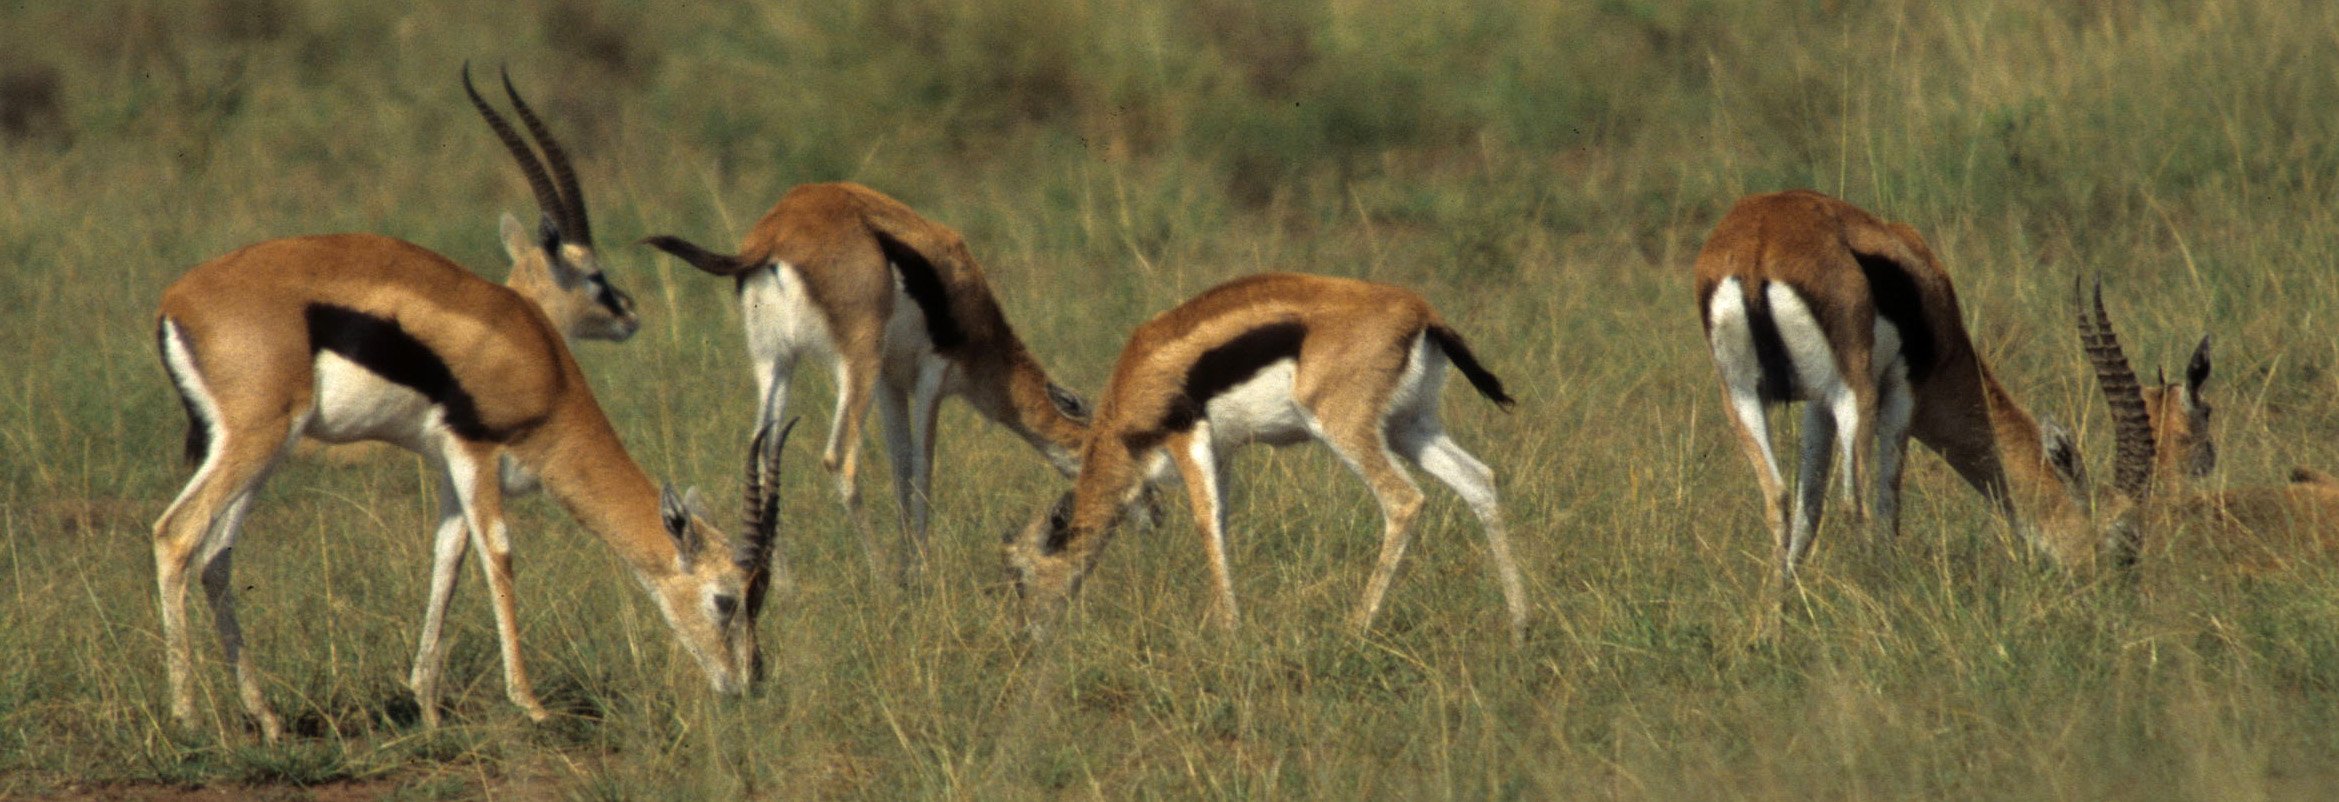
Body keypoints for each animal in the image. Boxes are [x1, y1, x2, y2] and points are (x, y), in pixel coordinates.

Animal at [149, 68, 790, 741]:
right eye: (726, 598)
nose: (746, 682)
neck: (541, 361)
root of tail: (176, 301)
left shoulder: (448, 468)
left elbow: (448, 561)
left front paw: (428, 708)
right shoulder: (475, 453)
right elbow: (499, 557)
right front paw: (530, 704)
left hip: (266, 451)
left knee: (216, 559)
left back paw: (268, 719)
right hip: (257, 439)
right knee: (176, 535)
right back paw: (187, 718)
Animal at [644, 183, 1092, 577]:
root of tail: (772, 237)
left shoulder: (889, 384)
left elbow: (899, 466)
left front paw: (910, 567)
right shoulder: (931, 376)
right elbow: (922, 464)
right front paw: (918, 572)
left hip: (776, 362)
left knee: (763, 451)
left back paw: (781, 584)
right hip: (855, 363)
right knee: (840, 459)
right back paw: (879, 578)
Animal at [1001, 273, 1527, 640]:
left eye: (1020, 576)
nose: (1027, 635)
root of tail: (1421, 312)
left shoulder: (1186, 437)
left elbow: (1205, 522)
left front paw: (1229, 633)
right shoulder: (1222, 451)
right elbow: (1222, 521)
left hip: (1347, 429)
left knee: (1404, 501)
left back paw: (1354, 629)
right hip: (1408, 427)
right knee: (1479, 479)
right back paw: (1521, 623)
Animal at [1694, 190, 2105, 584]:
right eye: (2114, 525)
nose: (2102, 576)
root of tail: (1757, 249)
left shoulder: (1817, 404)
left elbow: (1808, 508)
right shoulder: (1903, 391)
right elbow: (1888, 504)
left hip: (1741, 397)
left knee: (1778, 500)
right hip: (1854, 396)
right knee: (1855, 506)